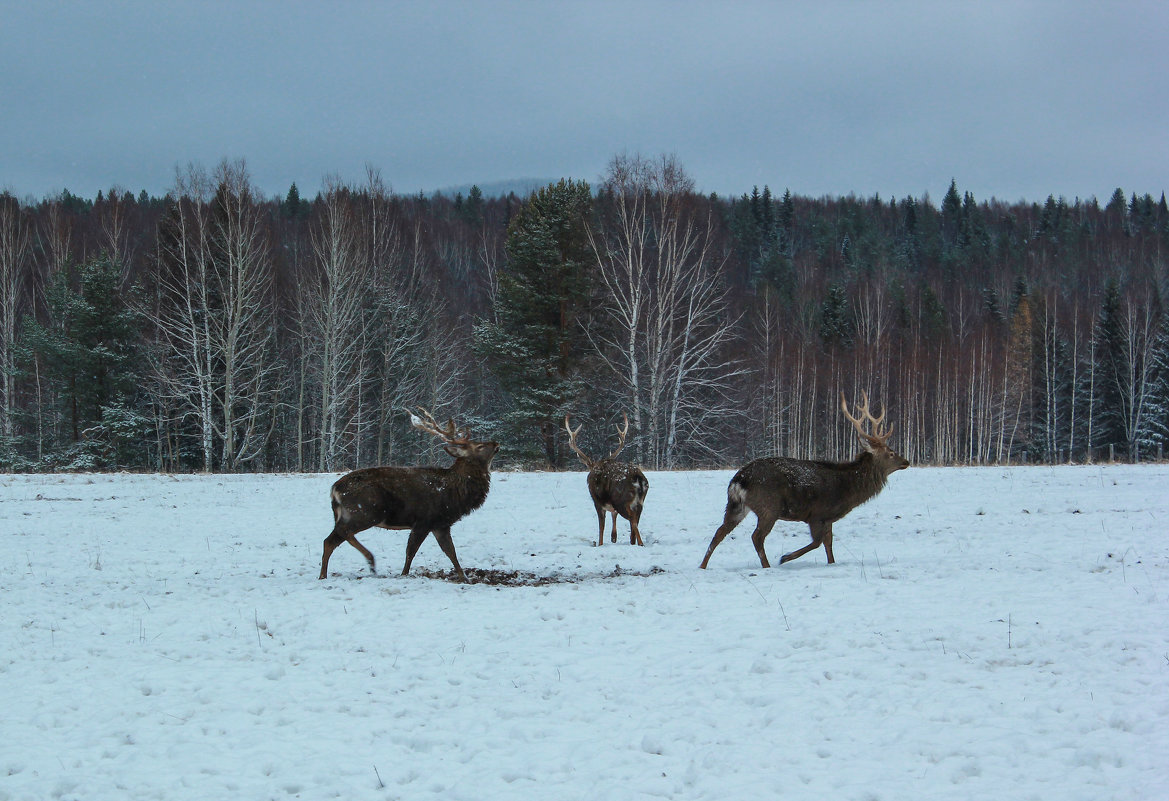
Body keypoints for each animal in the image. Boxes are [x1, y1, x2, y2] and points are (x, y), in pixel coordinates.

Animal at [317, 409, 500, 577]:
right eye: (479, 446)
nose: (495, 443)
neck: (454, 492)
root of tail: (335, 489)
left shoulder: (440, 524)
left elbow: (451, 552)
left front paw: (464, 578)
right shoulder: (424, 520)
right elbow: (411, 551)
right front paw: (404, 574)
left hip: (351, 514)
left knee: (331, 540)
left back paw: (326, 574)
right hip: (364, 512)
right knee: (339, 534)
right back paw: (368, 561)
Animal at [563, 411, 649, 549]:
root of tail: (638, 479)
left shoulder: (597, 502)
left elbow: (601, 527)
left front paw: (600, 544)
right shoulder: (612, 508)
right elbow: (613, 522)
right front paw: (613, 538)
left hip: (622, 501)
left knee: (633, 520)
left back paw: (640, 543)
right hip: (640, 501)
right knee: (636, 520)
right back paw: (633, 542)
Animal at [696, 392, 907, 568]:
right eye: (891, 453)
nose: (906, 461)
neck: (847, 490)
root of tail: (739, 480)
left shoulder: (828, 518)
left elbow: (828, 544)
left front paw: (831, 563)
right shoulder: (817, 514)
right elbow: (818, 542)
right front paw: (785, 557)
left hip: (736, 505)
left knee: (719, 532)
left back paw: (703, 566)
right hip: (768, 506)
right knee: (756, 536)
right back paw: (768, 566)